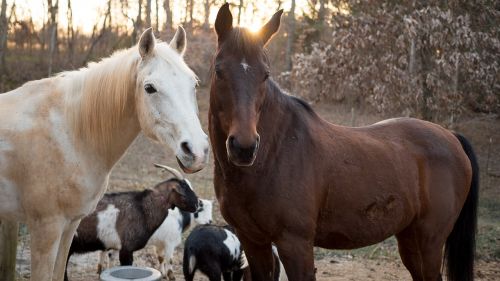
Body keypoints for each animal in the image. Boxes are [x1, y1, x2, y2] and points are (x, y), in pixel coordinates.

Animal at [209, 3, 478, 278]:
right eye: (219, 70)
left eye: (265, 74)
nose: (244, 147)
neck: (275, 153)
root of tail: (452, 137)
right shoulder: (253, 241)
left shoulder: (295, 244)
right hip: (410, 240)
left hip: (429, 242)